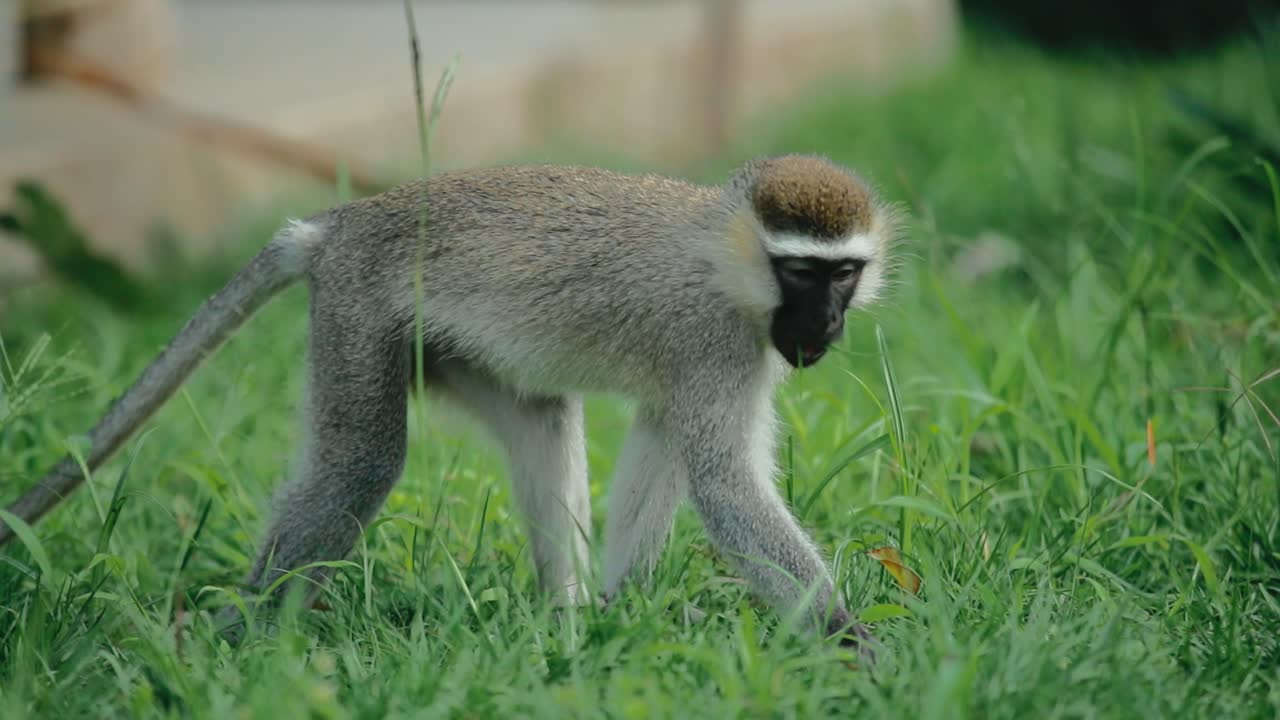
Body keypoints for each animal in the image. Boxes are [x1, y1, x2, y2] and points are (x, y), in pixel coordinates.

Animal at [0, 153, 897, 660]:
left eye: (843, 273)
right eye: (802, 273)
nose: (824, 326)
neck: (729, 259)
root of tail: (340, 227)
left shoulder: (705, 363)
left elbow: (665, 443)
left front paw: (621, 617)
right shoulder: (717, 342)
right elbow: (723, 483)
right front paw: (853, 643)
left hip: (451, 350)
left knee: (541, 416)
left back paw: (566, 623)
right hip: (357, 314)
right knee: (356, 465)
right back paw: (237, 635)